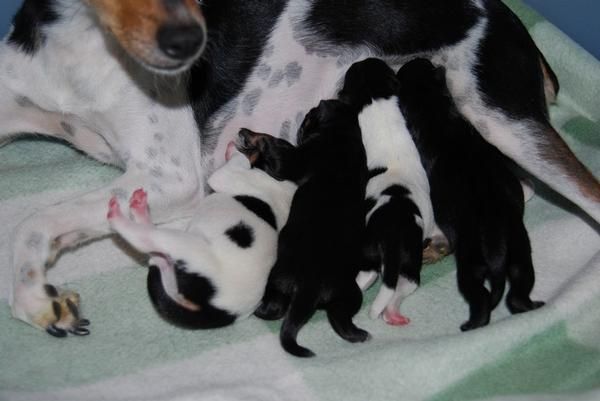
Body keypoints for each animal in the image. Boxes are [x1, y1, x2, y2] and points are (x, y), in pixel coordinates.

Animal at [108, 139, 298, 330]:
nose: (243, 138)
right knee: (161, 264)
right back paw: (140, 211)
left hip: (186, 246)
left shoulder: (229, 177)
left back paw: (120, 215)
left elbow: (237, 162)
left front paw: (232, 150)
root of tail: (217, 311)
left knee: (147, 240)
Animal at [244, 100, 370, 356]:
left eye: (306, 120)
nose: (299, 128)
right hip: (349, 293)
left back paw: (256, 310)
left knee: (274, 309)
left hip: (277, 280)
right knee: (339, 317)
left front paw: (260, 143)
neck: (343, 130)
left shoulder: (298, 159)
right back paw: (359, 335)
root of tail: (310, 286)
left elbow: (282, 161)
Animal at [338, 57, 436, 324]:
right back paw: (391, 313)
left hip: (370, 255)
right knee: (400, 287)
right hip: (410, 262)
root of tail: (392, 236)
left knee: (367, 278)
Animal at [396, 57, 548, 332]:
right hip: (521, 254)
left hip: (471, 263)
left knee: (481, 296)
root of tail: (499, 243)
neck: (433, 105)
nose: (422, 59)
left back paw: (471, 324)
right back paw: (531, 306)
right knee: (519, 287)